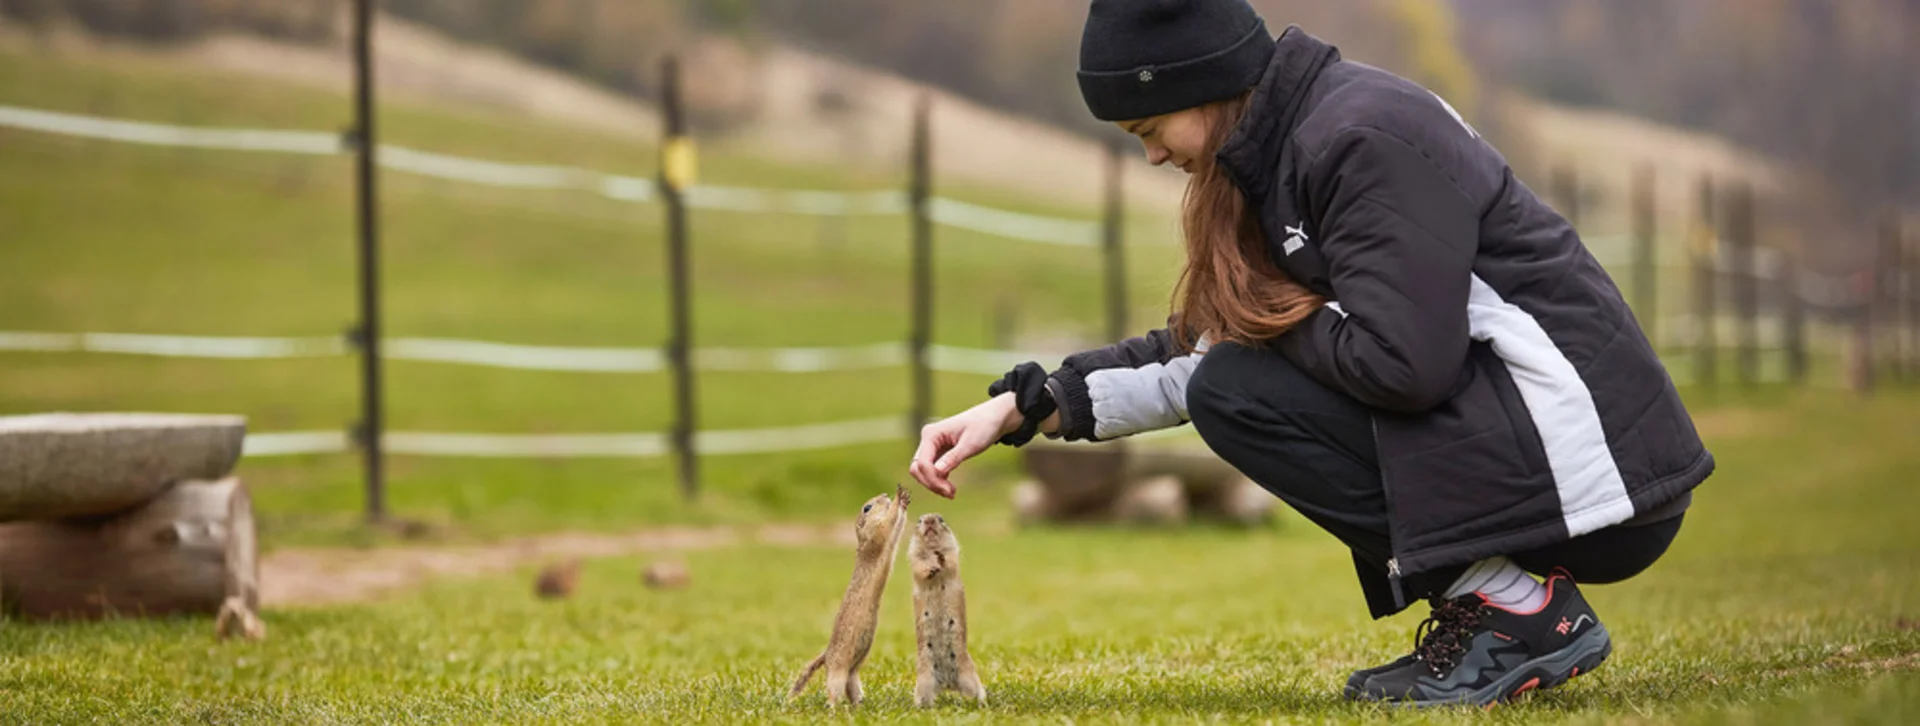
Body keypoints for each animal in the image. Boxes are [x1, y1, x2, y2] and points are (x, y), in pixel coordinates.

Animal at [788, 485, 911, 706]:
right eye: (867, 507)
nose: (884, 495)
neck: (861, 539)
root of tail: (826, 655)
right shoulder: (875, 535)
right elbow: (887, 524)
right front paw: (898, 499)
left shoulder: (889, 541)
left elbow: (896, 529)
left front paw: (904, 501)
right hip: (837, 671)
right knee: (833, 690)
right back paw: (833, 706)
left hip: (853, 673)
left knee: (851, 688)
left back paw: (859, 703)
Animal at [907, 513, 986, 707]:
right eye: (920, 520)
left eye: (940, 518)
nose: (929, 520)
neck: (932, 547)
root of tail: (947, 683)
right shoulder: (915, 555)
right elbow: (920, 567)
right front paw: (931, 567)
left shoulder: (952, 550)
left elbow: (950, 562)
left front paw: (940, 559)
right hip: (924, 680)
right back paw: (921, 706)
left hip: (969, 674)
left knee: (976, 690)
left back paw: (982, 702)